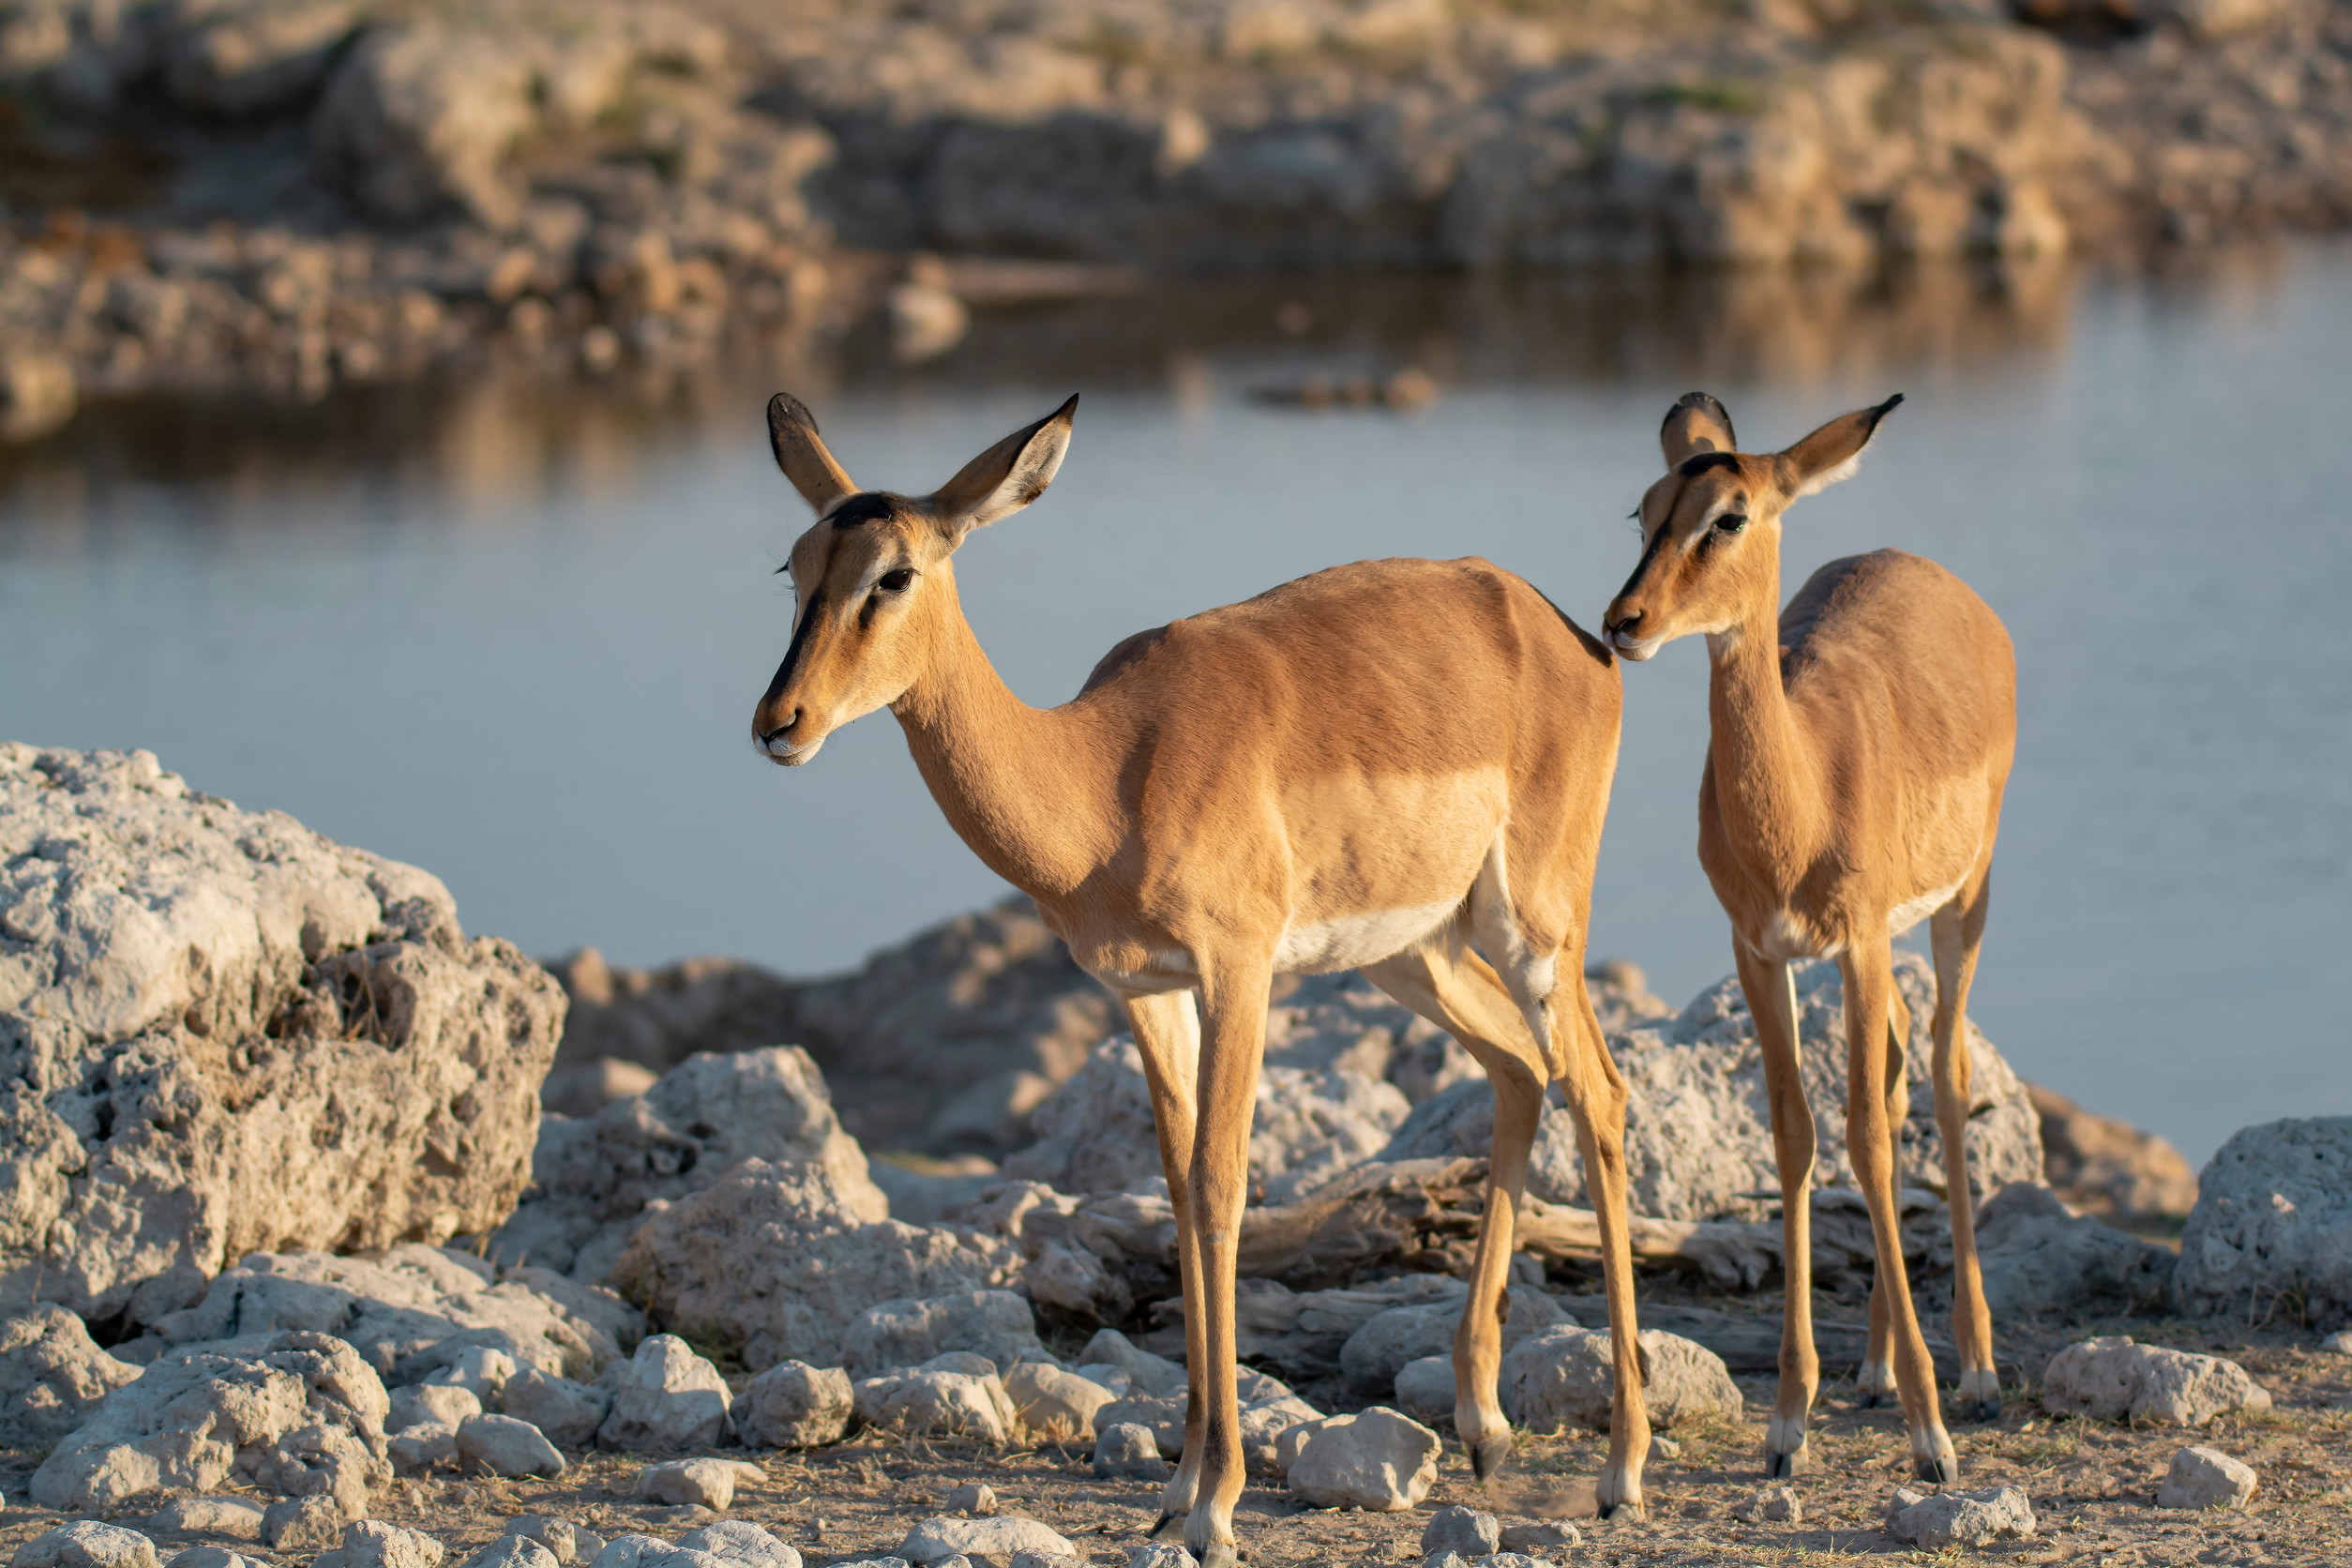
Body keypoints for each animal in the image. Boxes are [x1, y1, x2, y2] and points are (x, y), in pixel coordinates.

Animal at [750, 393, 1646, 1563]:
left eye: (891, 573)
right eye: (797, 560)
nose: (779, 722)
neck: (1105, 775)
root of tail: (1567, 634)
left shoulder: (1239, 971)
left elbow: (1223, 1186)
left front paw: (1217, 1503)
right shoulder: (1144, 992)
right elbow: (1175, 1191)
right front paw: (1177, 1485)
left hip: (1534, 925)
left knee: (1599, 1091)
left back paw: (1625, 1468)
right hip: (1417, 953)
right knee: (1519, 1074)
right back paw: (1484, 1427)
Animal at [1600, 393, 2016, 1485]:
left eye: (1730, 515)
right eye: (1644, 507)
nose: (1624, 622)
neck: (1802, 794)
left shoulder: (1860, 942)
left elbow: (1864, 1136)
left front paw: (1931, 1435)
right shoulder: (1762, 952)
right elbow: (1798, 1134)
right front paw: (1788, 1421)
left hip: (1963, 904)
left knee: (1945, 1081)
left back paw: (1978, 1372)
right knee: (1903, 1075)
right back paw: (1871, 1366)